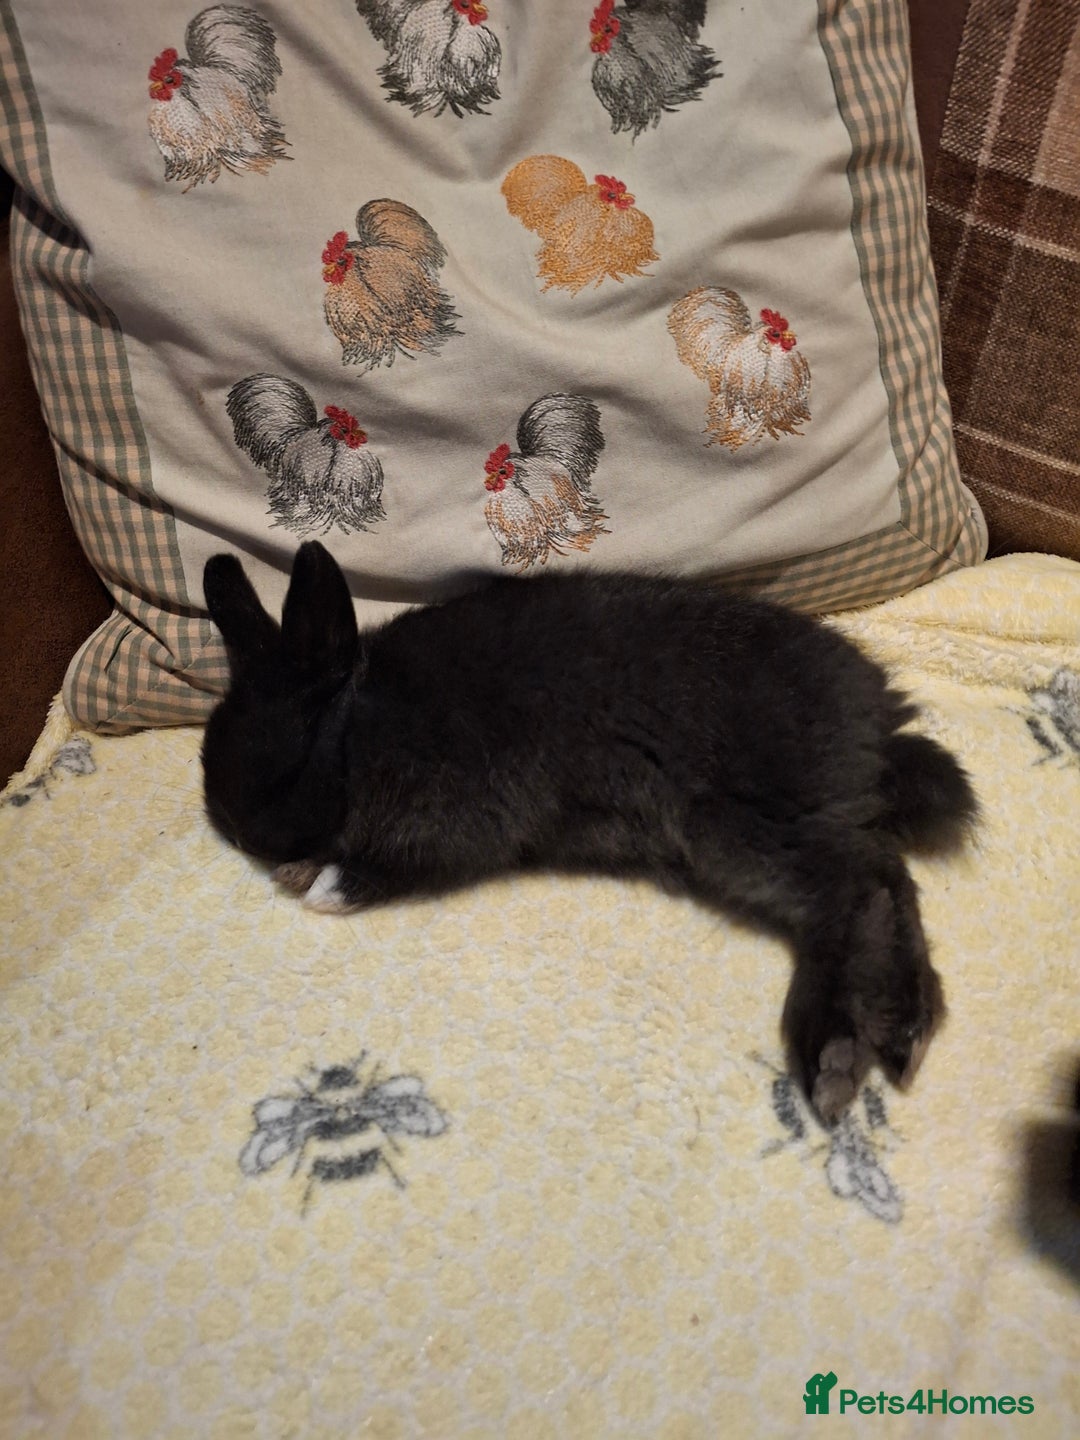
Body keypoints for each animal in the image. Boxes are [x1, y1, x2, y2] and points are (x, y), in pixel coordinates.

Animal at [202, 540, 977, 1122]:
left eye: (290, 759)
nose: (244, 838)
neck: (360, 723)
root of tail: (883, 727)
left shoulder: (448, 824)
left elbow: (385, 868)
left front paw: (319, 885)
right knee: (883, 883)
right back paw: (897, 1038)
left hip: (747, 823)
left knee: (861, 886)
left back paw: (838, 1057)